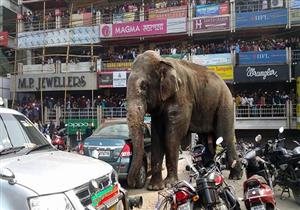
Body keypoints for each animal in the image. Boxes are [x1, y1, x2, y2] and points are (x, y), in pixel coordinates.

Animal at [125, 50, 243, 189]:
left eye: (144, 86)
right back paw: (209, 172)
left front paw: (170, 184)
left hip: (225, 104)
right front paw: (155, 187)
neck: (162, 61)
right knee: (206, 140)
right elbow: (157, 138)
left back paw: (235, 176)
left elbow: (173, 135)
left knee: (224, 137)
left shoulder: (181, 96)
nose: (132, 184)